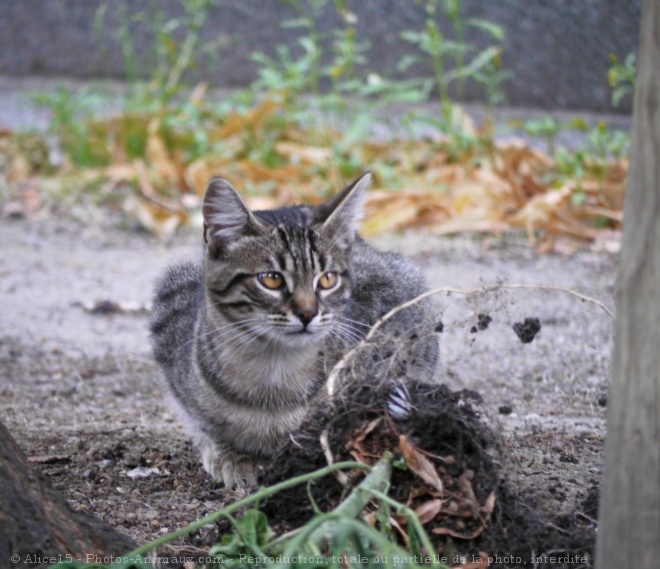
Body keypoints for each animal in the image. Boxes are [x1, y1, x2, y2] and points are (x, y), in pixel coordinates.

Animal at [151, 171, 438, 486]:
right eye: (271, 279)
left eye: (327, 279)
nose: (308, 313)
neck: (273, 371)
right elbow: (204, 423)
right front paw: (231, 455)